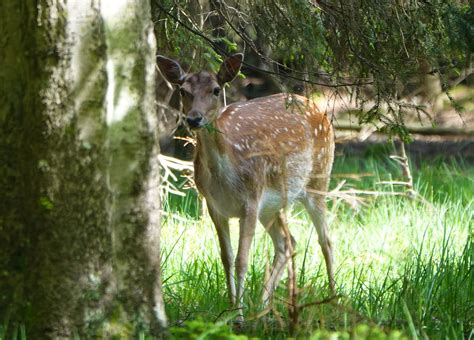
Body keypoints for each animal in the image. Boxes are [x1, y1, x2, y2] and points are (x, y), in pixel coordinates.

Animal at [157, 53, 336, 322]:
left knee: (325, 240)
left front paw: (239, 316)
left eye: (216, 89)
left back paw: (335, 300)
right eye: (183, 90)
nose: (194, 118)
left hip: (319, 177)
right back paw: (263, 306)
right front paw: (231, 308)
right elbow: (226, 258)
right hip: (272, 206)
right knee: (288, 242)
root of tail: (316, 106)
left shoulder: (250, 200)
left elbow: (242, 259)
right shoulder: (214, 206)